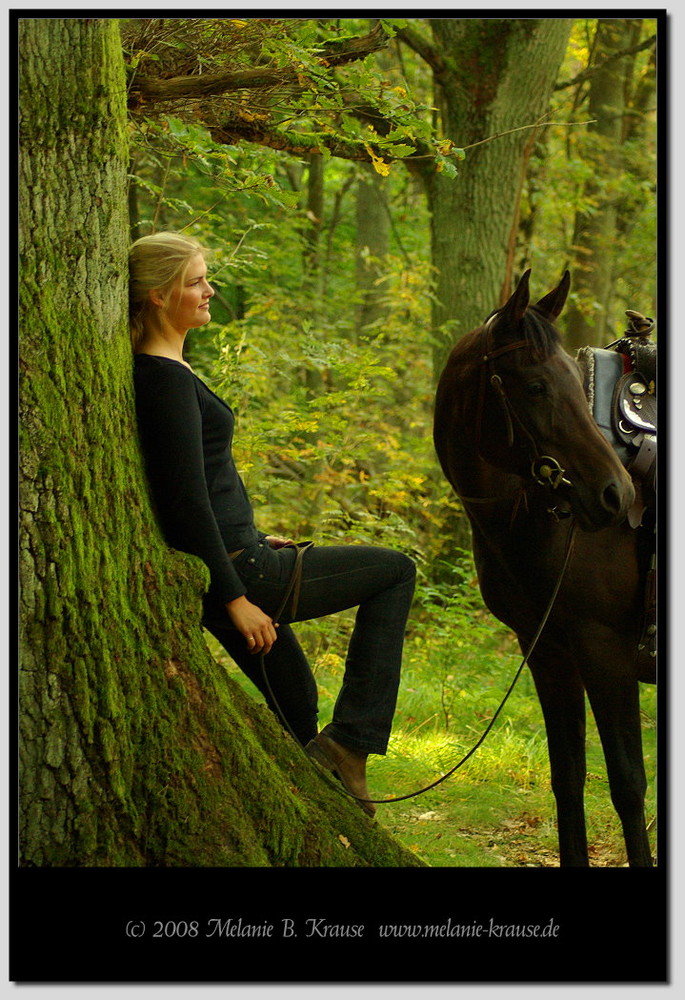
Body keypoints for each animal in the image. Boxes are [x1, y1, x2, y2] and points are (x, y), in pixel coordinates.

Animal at [432, 270, 652, 864]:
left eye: (577, 382)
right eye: (535, 387)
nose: (616, 496)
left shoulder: (606, 652)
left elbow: (628, 784)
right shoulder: (550, 654)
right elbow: (568, 779)